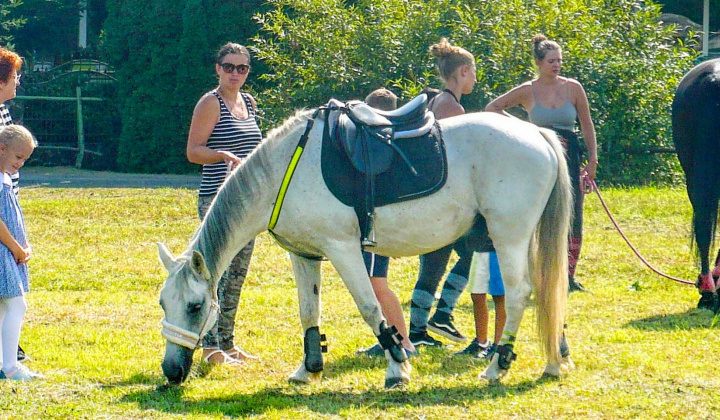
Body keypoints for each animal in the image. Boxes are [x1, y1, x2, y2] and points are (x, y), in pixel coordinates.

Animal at [158, 101, 572, 388]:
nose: (171, 370)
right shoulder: (304, 255)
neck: (284, 172)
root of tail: (537, 134)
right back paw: (554, 360)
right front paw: (308, 370)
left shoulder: (343, 250)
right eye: (163, 303)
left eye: (195, 307)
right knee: (547, 292)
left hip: (508, 236)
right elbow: (309, 313)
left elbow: (372, 309)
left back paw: (496, 367)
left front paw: (398, 369)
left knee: (518, 295)